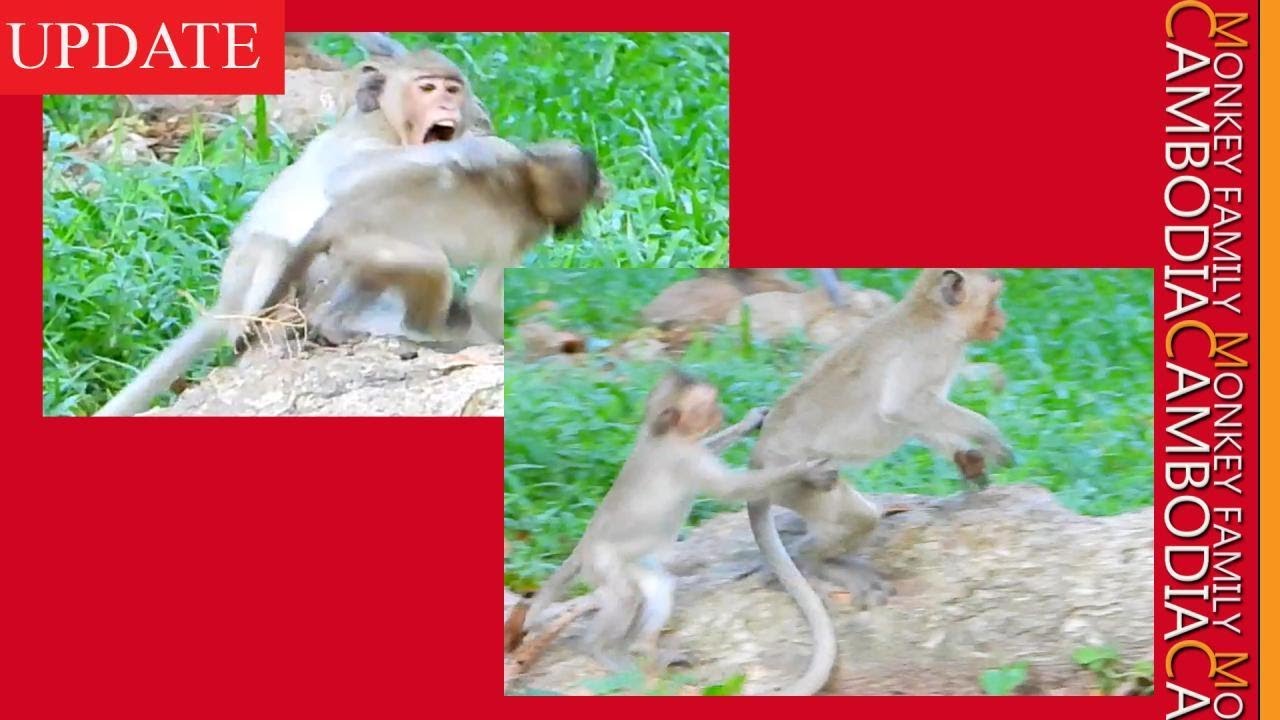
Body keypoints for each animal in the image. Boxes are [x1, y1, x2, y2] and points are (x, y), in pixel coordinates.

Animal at [92, 49, 491, 417]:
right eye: (427, 88)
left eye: (452, 89)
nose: (446, 103)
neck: (385, 127)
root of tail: (226, 303)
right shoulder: (371, 154)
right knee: (280, 248)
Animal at [265, 134, 606, 347]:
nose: (577, 223)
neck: (527, 185)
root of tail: (340, 216)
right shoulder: (520, 235)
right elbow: (484, 296)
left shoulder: (503, 150)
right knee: (433, 267)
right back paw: (430, 333)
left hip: (358, 243)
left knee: (372, 272)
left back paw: (327, 322)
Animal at [514, 370, 839, 675]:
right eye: (708, 405)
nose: (720, 410)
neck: (661, 434)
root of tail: (583, 547)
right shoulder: (684, 458)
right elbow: (732, 489)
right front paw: (804, 471)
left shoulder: (688, 447)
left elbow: (712, 446)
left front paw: (749, 421)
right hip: (602, 563)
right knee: (626, 596)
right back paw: (600, 649)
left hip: (633, 563)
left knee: (658, 586)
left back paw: (644, 648)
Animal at [741, 268, 1015, 695]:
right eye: (993, 301)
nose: (1003, 320)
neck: (931, 316)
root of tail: (757, 464)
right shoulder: (928, 354)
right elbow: (904, 407)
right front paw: (991, 438)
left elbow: (918, 420)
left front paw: (968, 460)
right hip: (802, 481)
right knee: (855, 518)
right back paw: (815, 560)